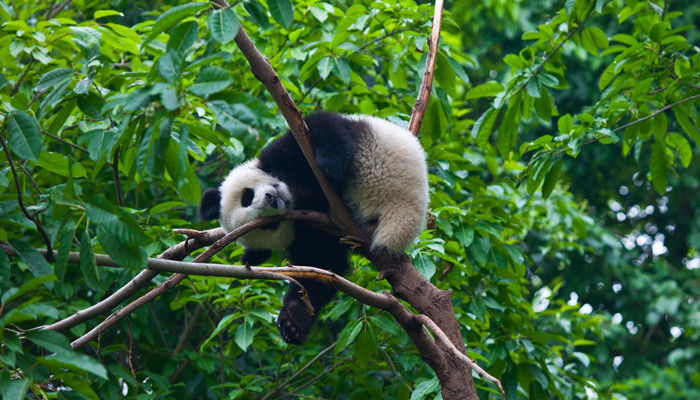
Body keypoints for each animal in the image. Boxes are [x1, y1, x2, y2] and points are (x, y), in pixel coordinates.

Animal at [197, 111, 426, 344]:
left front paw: (333, 163)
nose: (272, 199)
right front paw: (293, 322)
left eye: (247, 196)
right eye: (269, 225)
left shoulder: (282, 155)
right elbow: (321, 266)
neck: (298, 193)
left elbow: (317, 126)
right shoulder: (309, 232)